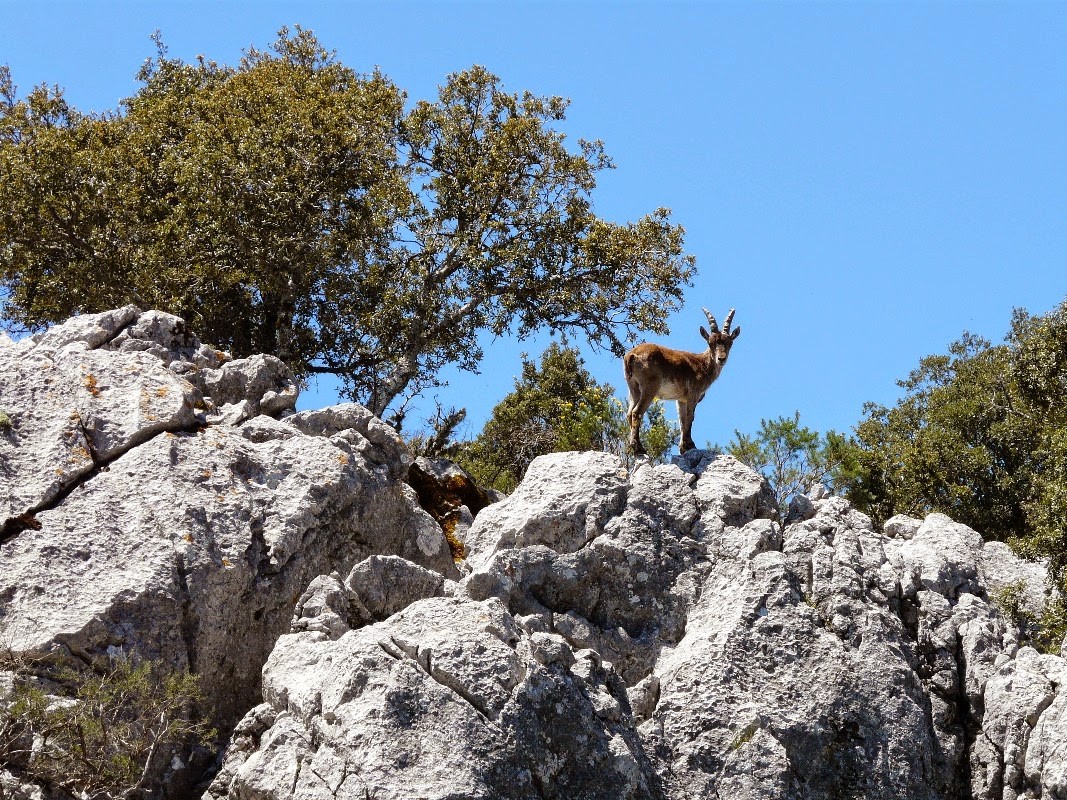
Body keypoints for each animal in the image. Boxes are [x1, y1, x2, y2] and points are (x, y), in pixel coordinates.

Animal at [623, 309, 742, 454]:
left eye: (730, 342)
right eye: (710, 343)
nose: (721, 359)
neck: (703, 364)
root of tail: (631, 355)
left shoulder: (681, 399)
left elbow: (682, 419)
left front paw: (682, 447)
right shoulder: (693, 394)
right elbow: (690, 417)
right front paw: (690, 445)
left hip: (633, 387)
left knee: (629, 413)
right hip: (649, 387)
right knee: (636, 412)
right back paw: (638, 447)